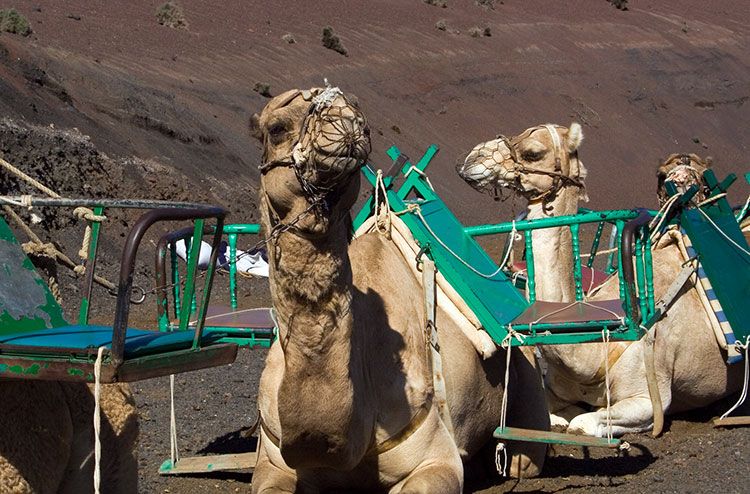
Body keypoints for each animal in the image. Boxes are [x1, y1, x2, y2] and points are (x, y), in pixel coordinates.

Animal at [250, 87, 548, 492]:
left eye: (358, 111)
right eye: (277, 128)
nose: (344, 120)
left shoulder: (435, 456)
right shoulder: (272, 462)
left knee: (521, 459)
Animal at [458, 122, 748, 436]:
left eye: (533, 152)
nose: (471, 159)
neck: (593, 351)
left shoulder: (648, 398)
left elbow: (583, 423)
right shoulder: (555, 388)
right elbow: (553, 414)